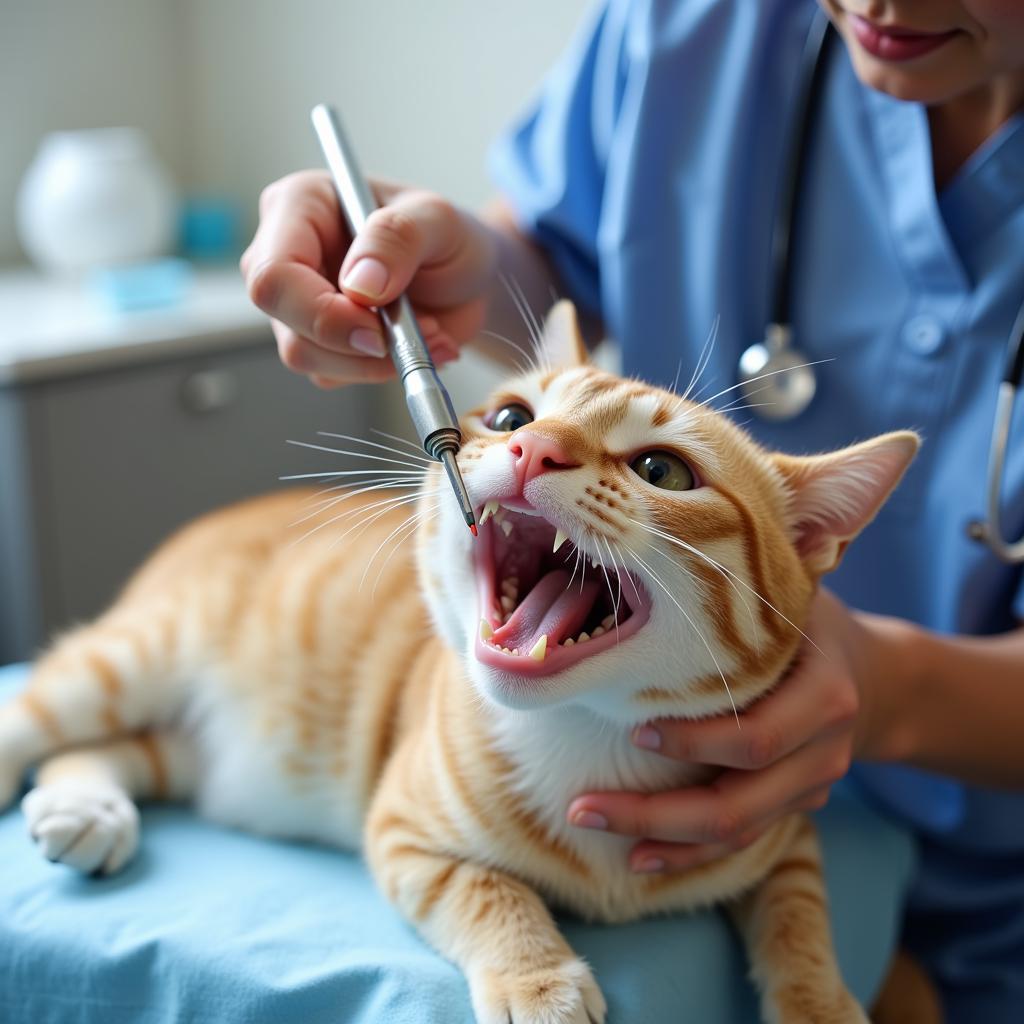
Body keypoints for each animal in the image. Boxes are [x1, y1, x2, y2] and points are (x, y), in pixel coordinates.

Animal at [0, 303, 921, 1024]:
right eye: (512, 417)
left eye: (662, 468)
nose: (534, 449)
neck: (591, 739)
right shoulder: (403, 829)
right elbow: (487, 889)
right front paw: (538, 979)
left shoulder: (781, 824)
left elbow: (802, 917)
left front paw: (821, 1003)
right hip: (134, 657)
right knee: (38, 718)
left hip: (199, 753)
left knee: (112, 749)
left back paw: (87, 809)